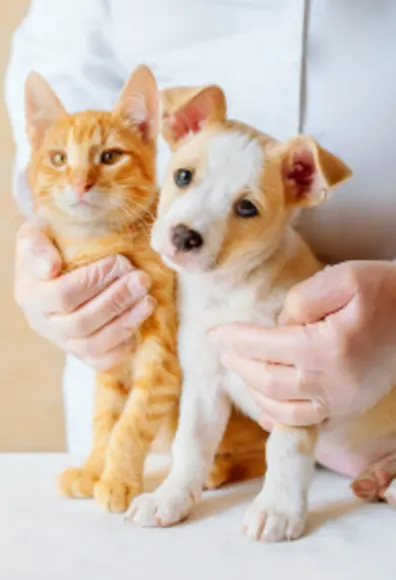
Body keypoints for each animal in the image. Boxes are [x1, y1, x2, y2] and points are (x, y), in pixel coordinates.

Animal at [126, 85, 350, 540]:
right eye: (183, 176)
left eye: (247, 208)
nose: (183, 237)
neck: (228, 291)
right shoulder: (205, 385)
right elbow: (190, 445)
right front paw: (170, 497)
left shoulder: (297, 386)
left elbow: (285, 451)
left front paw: (278, 509)